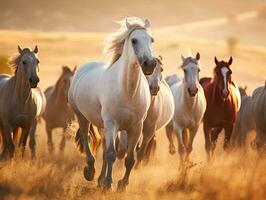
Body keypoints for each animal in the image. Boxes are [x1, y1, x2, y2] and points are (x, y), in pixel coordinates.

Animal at [68, 18, 156, 191]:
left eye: (151, 40)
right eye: (134, 40)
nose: (149, 64)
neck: (128, 92)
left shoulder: (136, 127)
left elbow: (130, 159)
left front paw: (122, 184)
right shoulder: (112, 123)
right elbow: (111, 154)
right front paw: (108, 183)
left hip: (105, 126)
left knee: (103, 149)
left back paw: (100, 179)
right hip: (83, 117)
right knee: (87, 140)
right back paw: (90, 171)